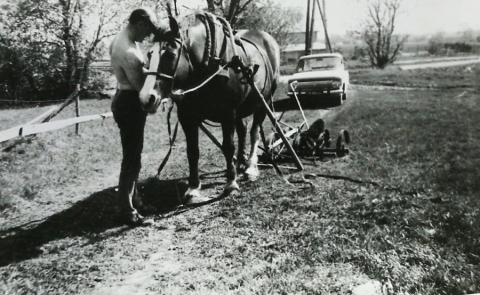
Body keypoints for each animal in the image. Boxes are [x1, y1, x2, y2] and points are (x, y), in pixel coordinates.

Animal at [139, 14, 280, 204]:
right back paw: (240, 163)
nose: (147, 97)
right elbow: (192, 151)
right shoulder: (187, 116)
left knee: (254, 132)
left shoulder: (228, 114)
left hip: (263, 101)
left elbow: (228, 147)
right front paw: (193, 188)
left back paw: (250, 166)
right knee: (243, 130)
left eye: (170, 54)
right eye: (149, 54)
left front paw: (231, 184)